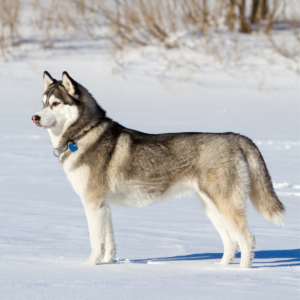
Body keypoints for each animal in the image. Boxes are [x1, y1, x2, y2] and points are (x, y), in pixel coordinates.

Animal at [31, 71, 284, 268]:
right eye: (42, 103)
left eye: (55, 104)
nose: (34, 117)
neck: (83, 134)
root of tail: (235, 137)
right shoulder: (104, 205)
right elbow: (109, 242)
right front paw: (109, 264)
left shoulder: (92, 203)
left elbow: (96, 243)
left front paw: (89, 267)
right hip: (211, 207)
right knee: (231, 242)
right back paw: (219, 269)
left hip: (224, 205)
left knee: (247, 239)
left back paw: (241, 275)